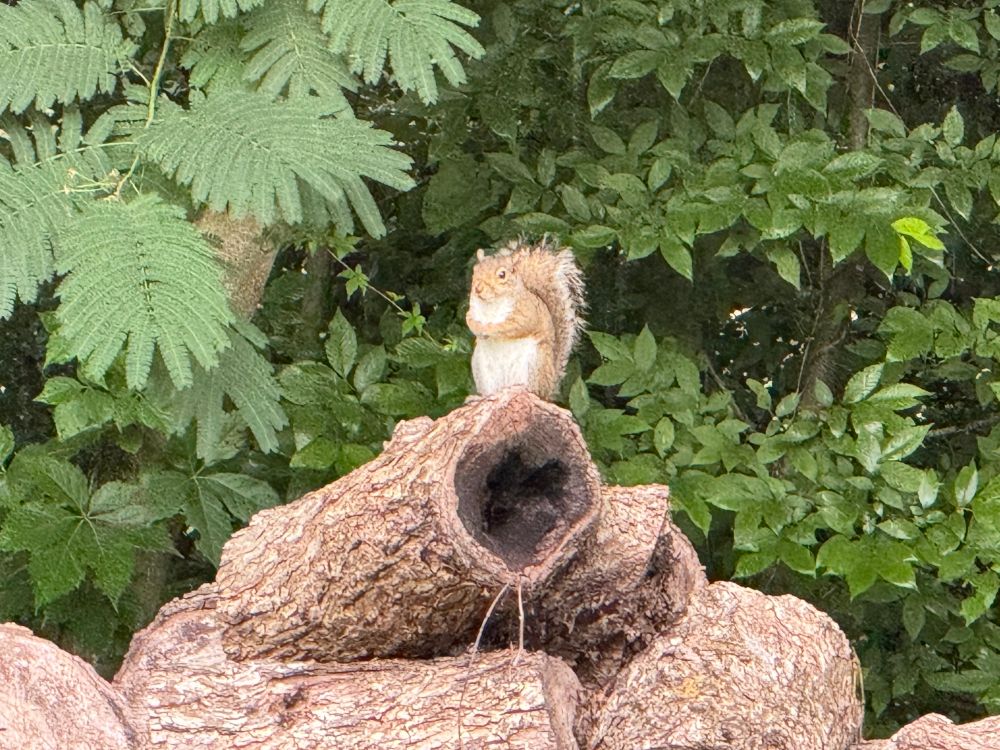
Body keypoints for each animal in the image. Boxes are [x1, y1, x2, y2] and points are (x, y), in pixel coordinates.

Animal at [466, 238, 585, 400]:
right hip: (482, 369)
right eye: (475, 270)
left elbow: (512, 327)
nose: (478, 289)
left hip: (535, 363)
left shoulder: (527, 313)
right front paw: (476, 327)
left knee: (533, 391)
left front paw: (488, 329)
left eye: (502, 275)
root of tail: (548, 391)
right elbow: (469, 319)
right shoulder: (472, 310)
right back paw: (479, 397)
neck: (491, 305)